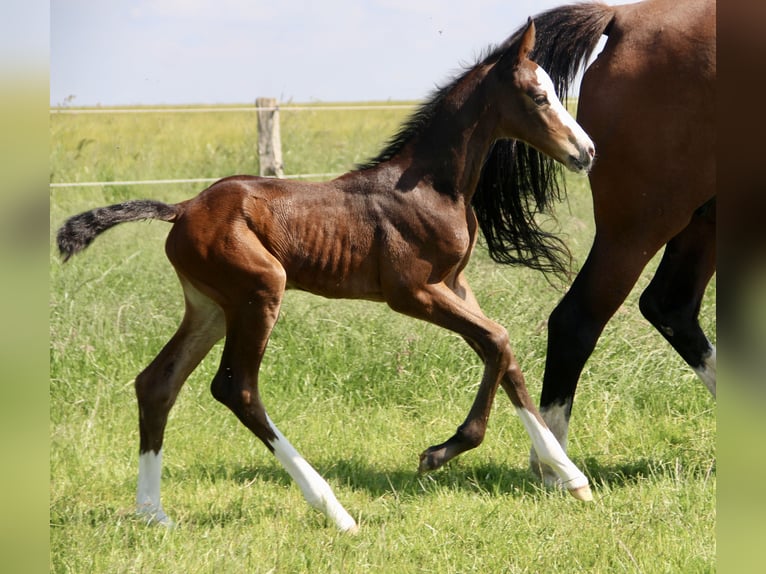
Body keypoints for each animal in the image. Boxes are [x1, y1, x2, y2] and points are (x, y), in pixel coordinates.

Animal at [58, 22, 600, 536]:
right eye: (538, 96)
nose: (587, 151)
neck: (430, 185)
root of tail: (183, 207)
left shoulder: (456, 285)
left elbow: (504, 356)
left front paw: (572, 477)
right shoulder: (412, 292)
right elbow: (498, 340)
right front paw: (439, 453)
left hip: (210, 306)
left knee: (157, 383)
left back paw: (153, 513)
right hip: (259, 291)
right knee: (236, 389)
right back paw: (334, 510)